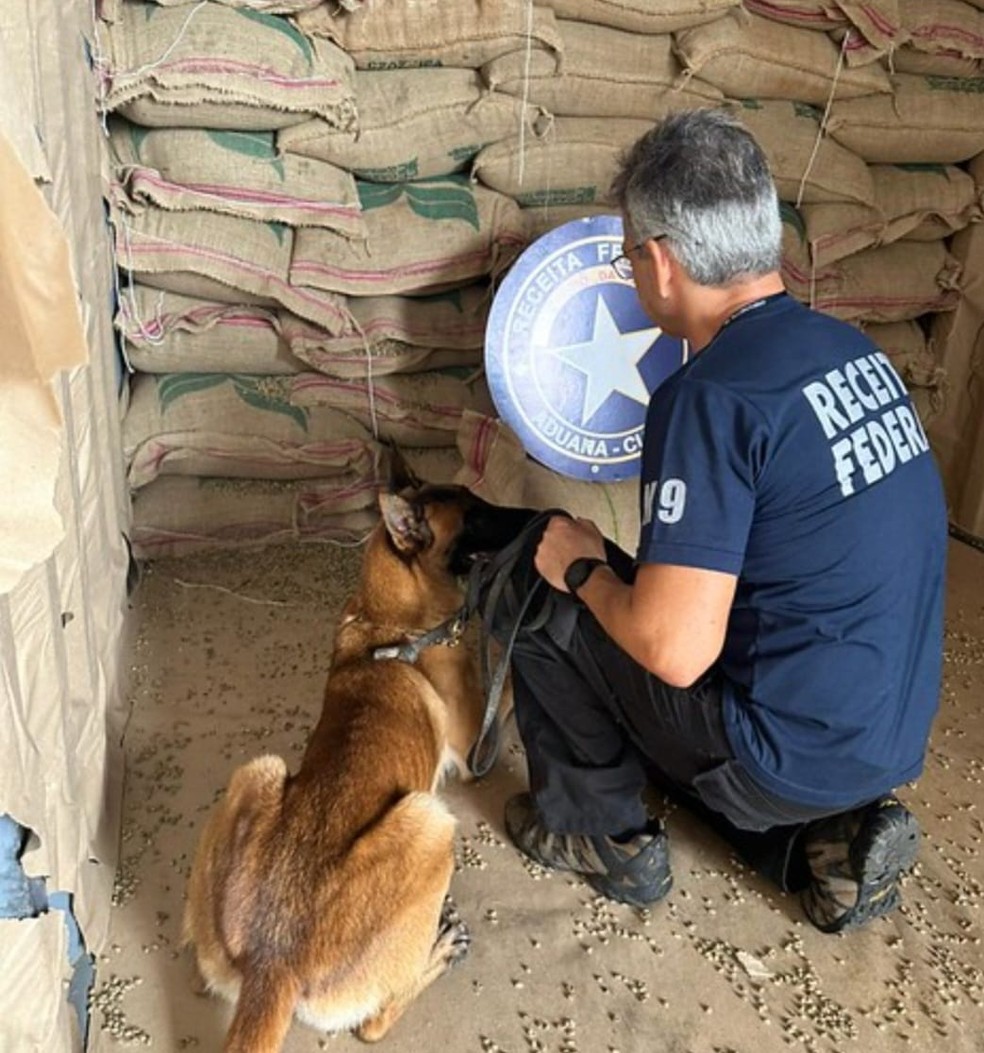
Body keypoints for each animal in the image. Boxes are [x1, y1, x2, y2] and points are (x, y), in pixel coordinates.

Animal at [181, 482, 535, 1048]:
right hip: (430, 822)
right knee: (374, 1024)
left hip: (257, 772)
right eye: (476, 516)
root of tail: (272, 966)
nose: (538, 518)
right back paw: (438, 951)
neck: (388, 621)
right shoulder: (475, 747)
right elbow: (507, 693)